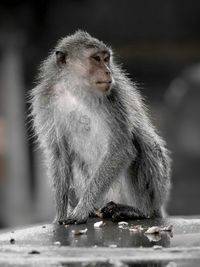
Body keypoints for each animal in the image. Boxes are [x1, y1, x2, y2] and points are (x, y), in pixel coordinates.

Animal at [29, 30, 170, 225]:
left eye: (106, 58)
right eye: (96, 59)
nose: (108, 71)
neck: (75, 91)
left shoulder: (113, 99)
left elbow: (121, 149)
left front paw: (81, 210)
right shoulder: (44, 102)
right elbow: (59, 154)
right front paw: (61, 214)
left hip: (153, 192)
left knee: (143, 143)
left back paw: (138, 210)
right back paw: (96, 211)